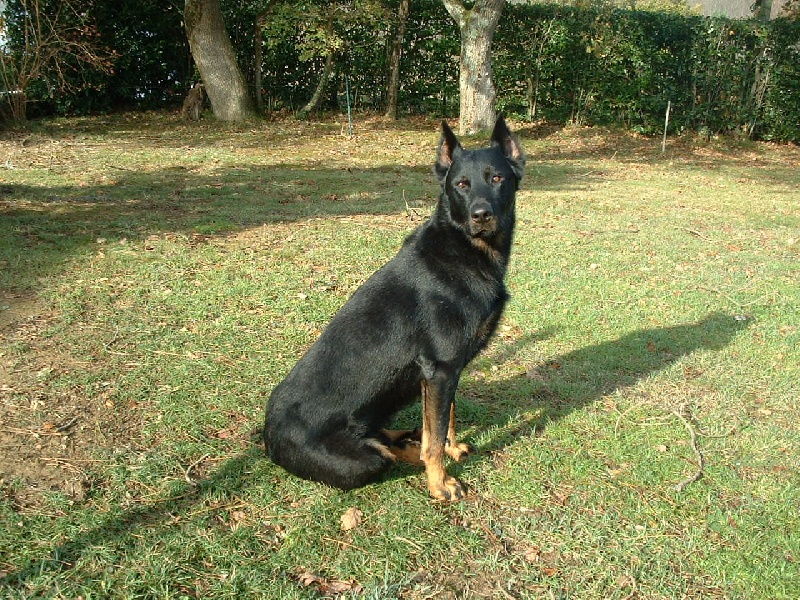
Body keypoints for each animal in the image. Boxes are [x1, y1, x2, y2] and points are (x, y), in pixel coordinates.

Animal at [264, 117, 524, 502]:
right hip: (362, 463)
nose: (481, 216)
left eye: (497, 179)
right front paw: (440, 483)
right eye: (462, 185)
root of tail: (266, 439)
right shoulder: (441, 369)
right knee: (385, 453)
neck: (464, 250)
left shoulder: (446, 372)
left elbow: (446, 421)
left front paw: (452, 449)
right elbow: (435, 437)